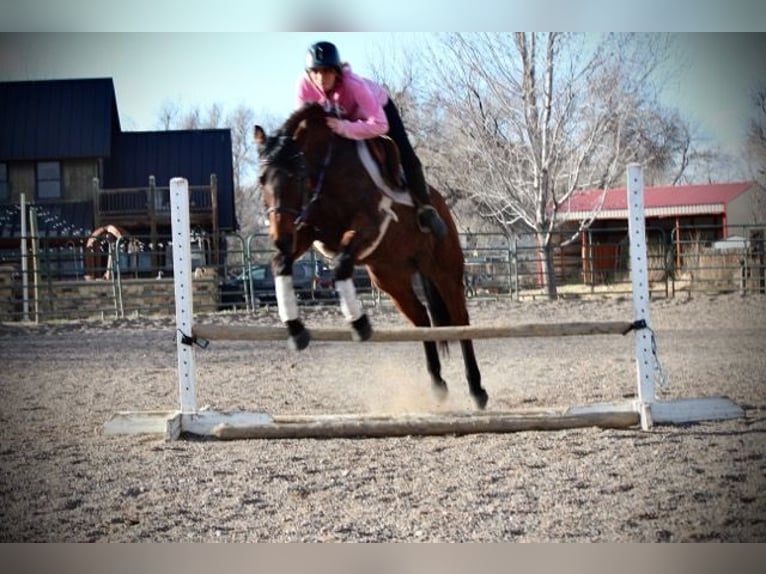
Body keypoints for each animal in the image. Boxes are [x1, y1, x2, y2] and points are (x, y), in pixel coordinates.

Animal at [255, 102, 488, 410]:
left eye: (295, 177)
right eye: (261, 180)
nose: (279, 238)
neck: (328, 169)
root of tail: (439, 203)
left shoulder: (368, 225)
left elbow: (341, 263)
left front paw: (360, 324)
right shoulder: (306, 231)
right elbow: (281, 263)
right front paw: (295, 330)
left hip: (444, 269)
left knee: (460, 320)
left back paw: (477, 390)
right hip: (390, 278)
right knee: (421, 318)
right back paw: (437, 385)